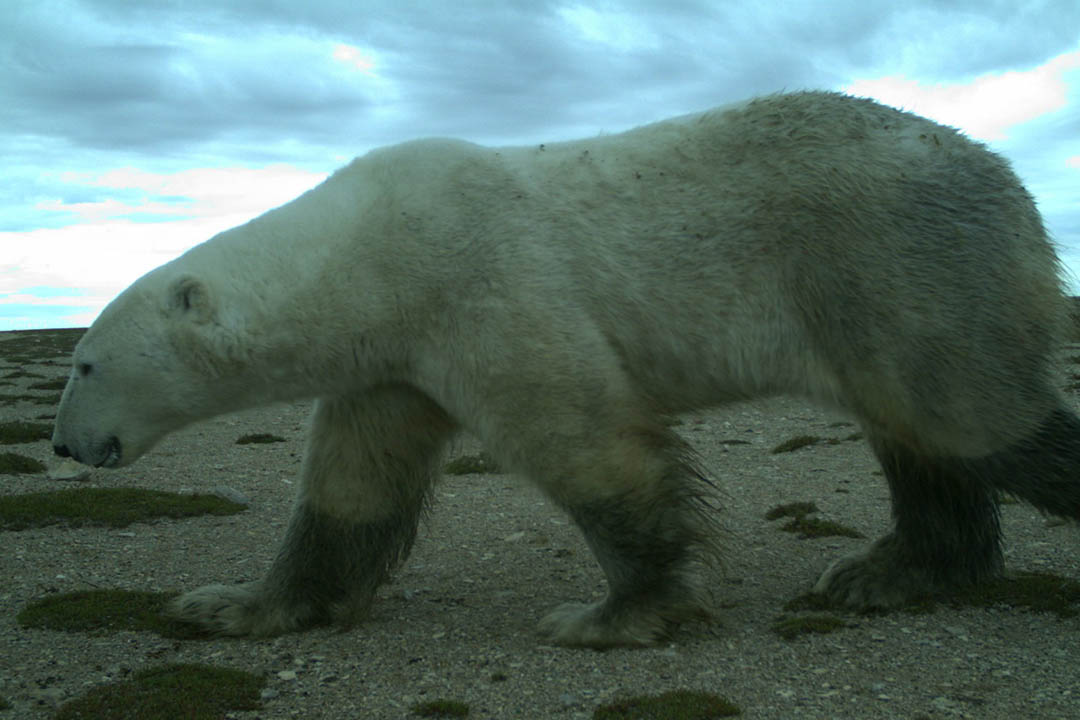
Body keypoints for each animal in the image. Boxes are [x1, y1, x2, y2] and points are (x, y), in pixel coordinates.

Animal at [52, 91, 1080, 648]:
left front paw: (613, 615)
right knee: (921, 430)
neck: (363, 255)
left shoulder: (479, 281)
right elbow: (353, 484)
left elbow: (585, 441)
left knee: (976, 416)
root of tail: (1008, 177)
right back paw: (887, 572)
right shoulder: (392, 361)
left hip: (895, 257)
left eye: (85, 362)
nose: (64, 447)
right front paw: (233, 605)